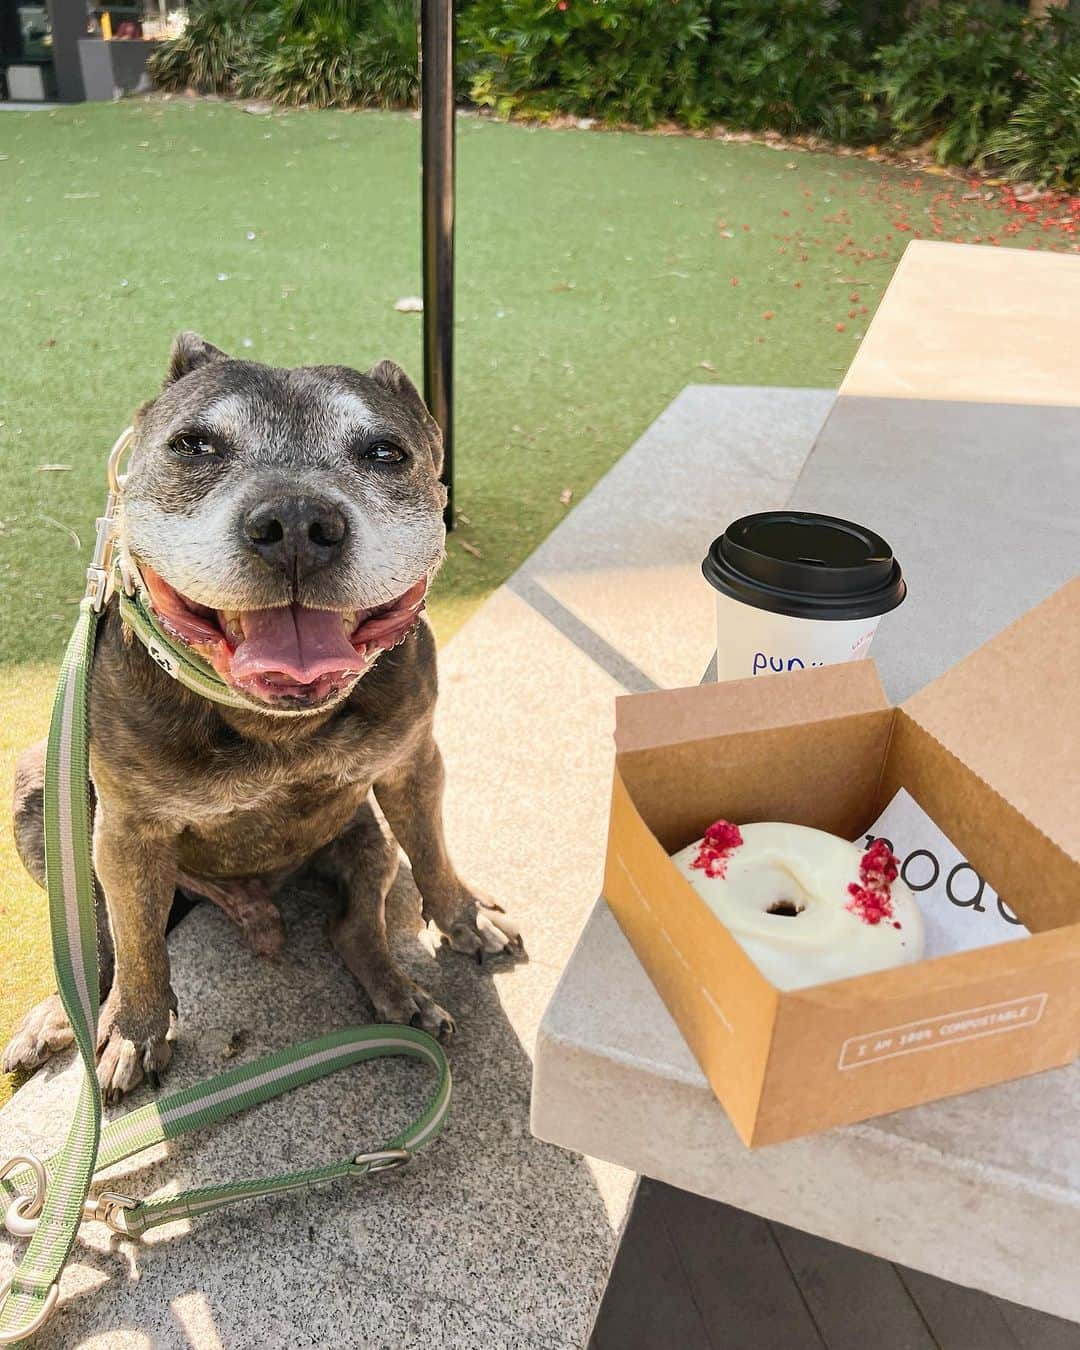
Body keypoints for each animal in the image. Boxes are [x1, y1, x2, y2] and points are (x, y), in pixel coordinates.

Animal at [0, 332, 523, 1101]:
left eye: (386, 452)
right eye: (193, 446)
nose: (297, 521)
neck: (273, 720)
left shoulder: (413, 765)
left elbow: (432, 850)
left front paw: (463, 915)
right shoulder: (125, 833)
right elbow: (137, 945)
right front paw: (137, 1030)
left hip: (366, 840)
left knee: (354, 926)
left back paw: (400, 995)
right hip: (44, 790)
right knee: (102, 937)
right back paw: (62, 1014)